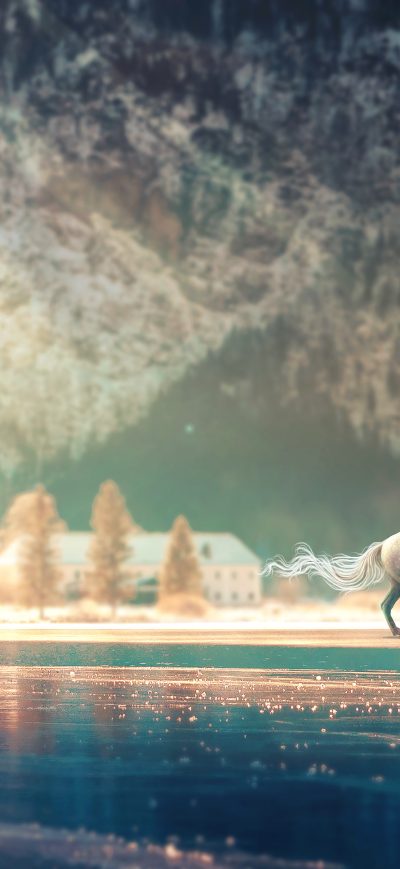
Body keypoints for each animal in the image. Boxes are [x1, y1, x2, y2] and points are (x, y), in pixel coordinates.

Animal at [263, 532, 400, 636]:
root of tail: (383, 544)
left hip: (395, 583)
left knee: (385, 605)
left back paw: (395, 632)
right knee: (386, 605)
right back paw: (396, 632)